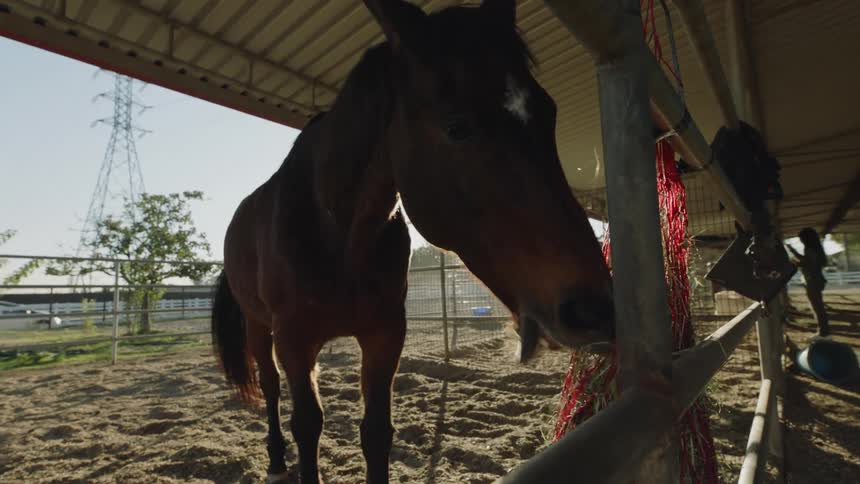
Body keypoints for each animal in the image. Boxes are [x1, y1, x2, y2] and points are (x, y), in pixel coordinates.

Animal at [211, 1, 615, 482]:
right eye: (457, 127)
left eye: (548, 113)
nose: (594, 308)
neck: (337, 236)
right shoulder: (294, 338)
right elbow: (307, 425)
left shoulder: (385, 334)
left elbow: (377, 432)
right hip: (259, 325)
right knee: (270, 387)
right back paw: (274, 457)